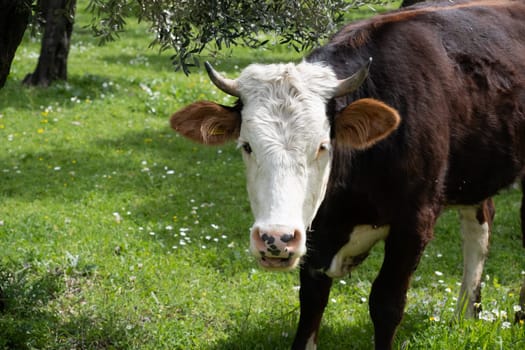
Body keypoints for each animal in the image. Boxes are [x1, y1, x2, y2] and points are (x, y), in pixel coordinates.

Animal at [169, 0, 524, 348]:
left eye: (323, 146)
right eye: (247, 146)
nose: (276, 238)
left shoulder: (415, 223)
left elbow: (386, 303)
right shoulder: (314, 234)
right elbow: (311, 302)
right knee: (480, 223)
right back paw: (466, 315)